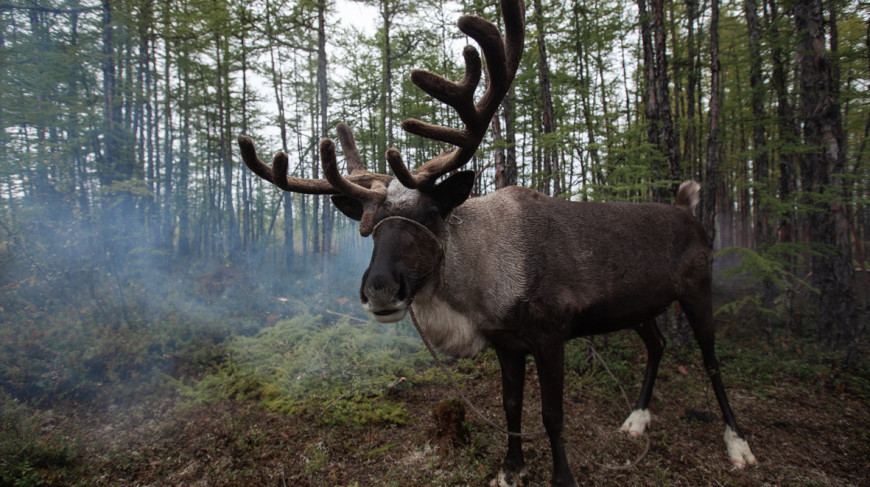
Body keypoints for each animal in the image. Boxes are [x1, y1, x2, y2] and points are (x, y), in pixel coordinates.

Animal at [237, 0, 756, 485]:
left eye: (432, 214)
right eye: (369, 228)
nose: (380, 290)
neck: (481, 292)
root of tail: (689, 210)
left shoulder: (550, 334)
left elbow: (551, 416)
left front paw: (561, 477)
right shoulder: (507, 343)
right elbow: (510, 407)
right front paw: (511, 469)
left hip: (698, 289)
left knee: (711, 362)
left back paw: (738, 443)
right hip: (639, 305)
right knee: (658, 343)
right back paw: (637, 419)